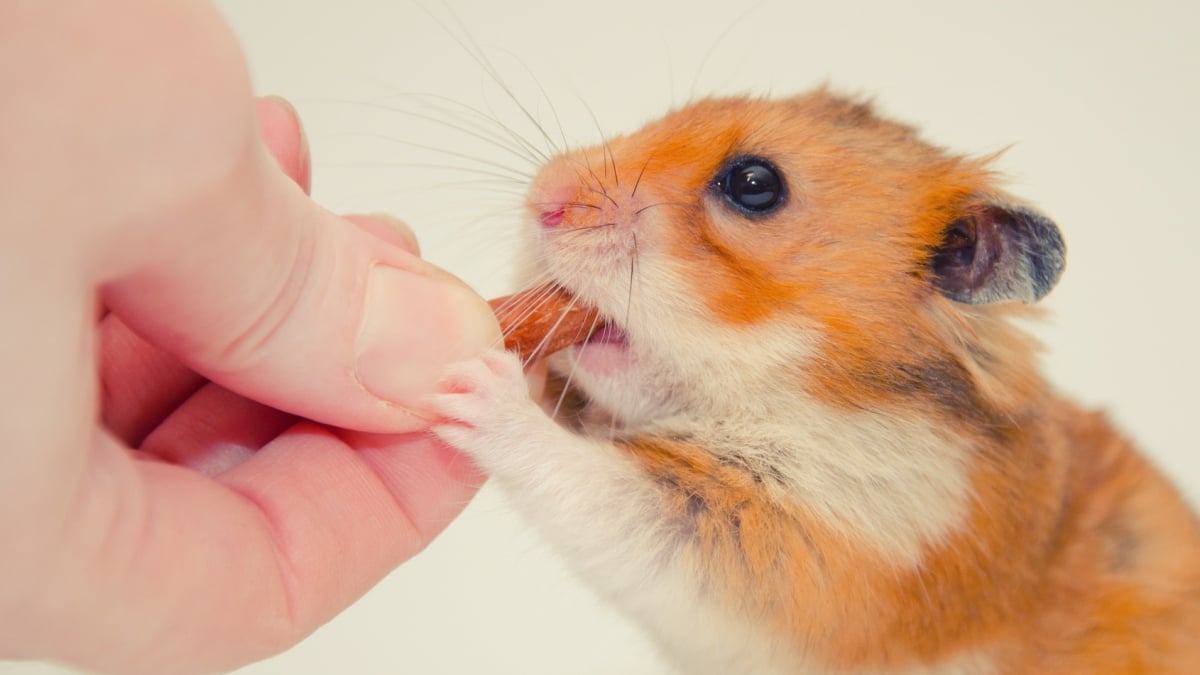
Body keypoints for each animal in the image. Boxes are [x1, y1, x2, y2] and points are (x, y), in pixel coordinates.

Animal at [432, 90, 1200, 672]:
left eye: (754, 184)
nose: (542, 200)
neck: (804, 395)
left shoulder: (803, 550)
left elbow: (598, 488)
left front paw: (475, 380)